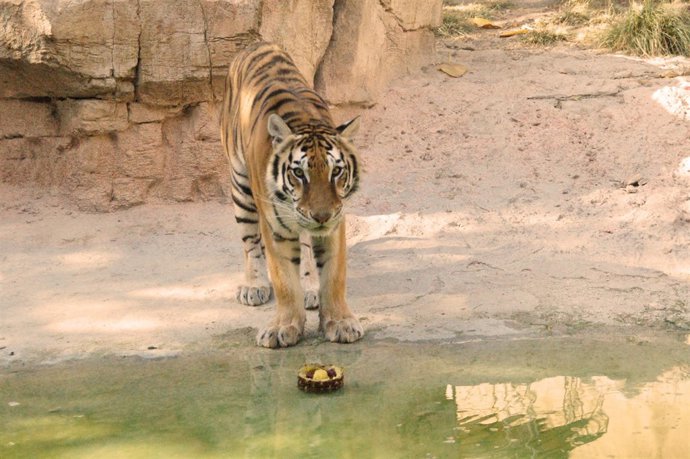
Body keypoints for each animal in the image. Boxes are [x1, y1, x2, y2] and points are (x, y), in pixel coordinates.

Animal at [219, 42, 364, 348]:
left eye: (336, 171)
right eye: (299, 173)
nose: (321, 216)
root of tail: (257, 44)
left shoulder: (335, 223)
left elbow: (334, 276)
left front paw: (340, 322)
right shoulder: (275, 227)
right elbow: (284, 279)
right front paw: (283, 327)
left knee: (307, 248)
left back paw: (310, 286)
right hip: (240, 185)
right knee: (250, 244)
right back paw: (253, 286)